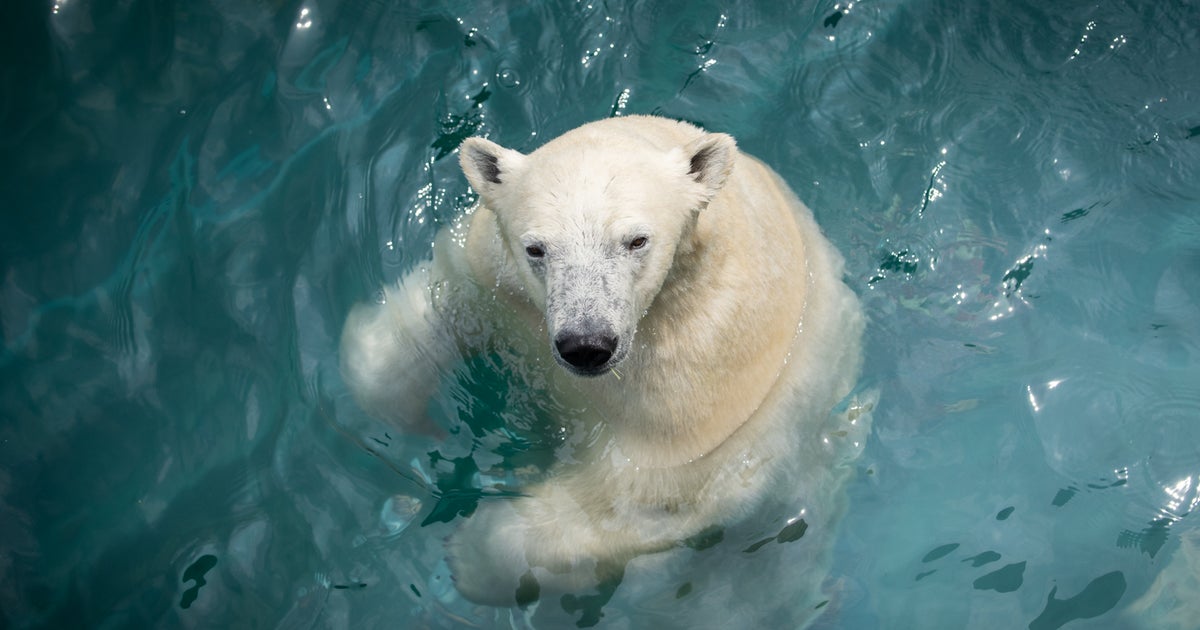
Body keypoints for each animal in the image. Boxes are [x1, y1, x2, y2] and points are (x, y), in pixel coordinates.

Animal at [340, 115, 870, 624]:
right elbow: (426, 319)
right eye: (536, 248)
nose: (586, 344)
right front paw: (408, 424)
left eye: (636, 241)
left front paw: (467, 556)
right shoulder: (492, 282)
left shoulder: (700, 378)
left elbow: (631, 497)